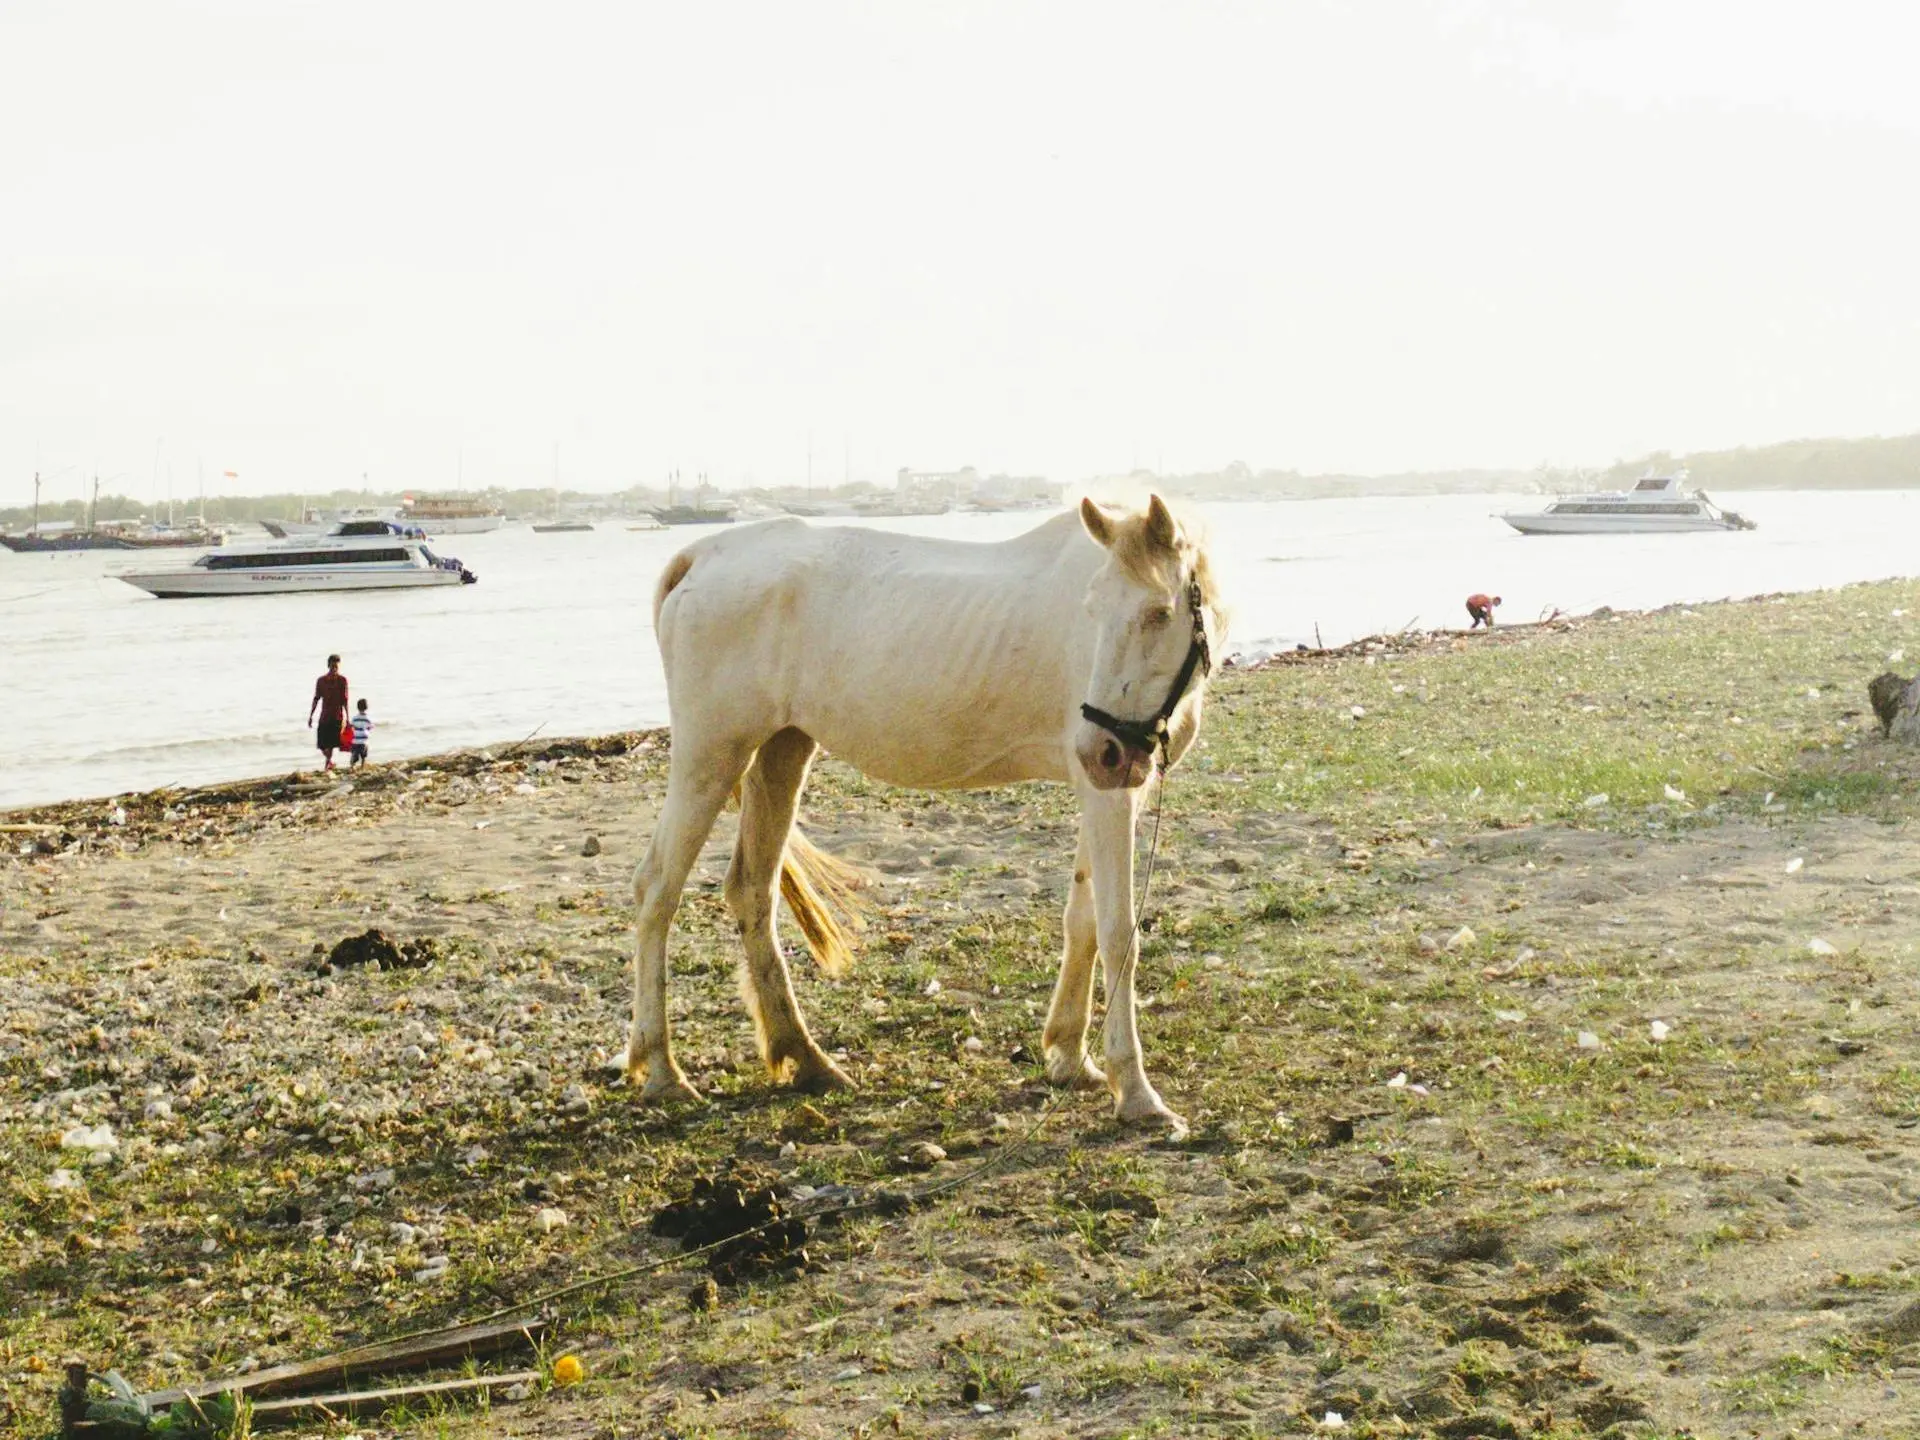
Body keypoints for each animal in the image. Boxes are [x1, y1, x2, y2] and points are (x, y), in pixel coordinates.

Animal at [633, 495, 1228, 1128]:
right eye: (1092, 610)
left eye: (1158, 613)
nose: (1102, 749)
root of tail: (701, 555)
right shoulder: (1110, 793)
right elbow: (1119, 934)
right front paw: (1137, 1092)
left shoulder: (1111, 790)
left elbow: (1083, 922)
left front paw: (1070, 1057)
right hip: (709, 756)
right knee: (658, 890)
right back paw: (663, 1070)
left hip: (781, 749)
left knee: (753, 891)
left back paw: (807, 1057)